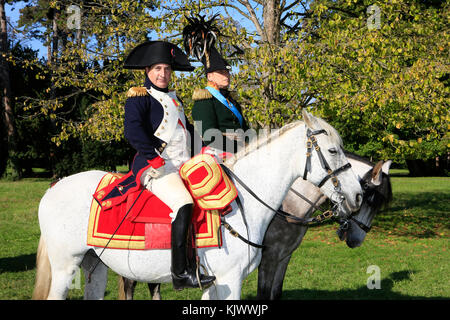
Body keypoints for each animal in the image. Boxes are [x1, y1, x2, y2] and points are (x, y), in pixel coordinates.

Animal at [32, 110, 362, 300]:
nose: (357, 195)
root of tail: (55, 186)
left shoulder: (219, 284)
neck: (243, 204)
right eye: (333, 150)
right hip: (66, 267)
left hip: (95, 266)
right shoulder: (231, 280)